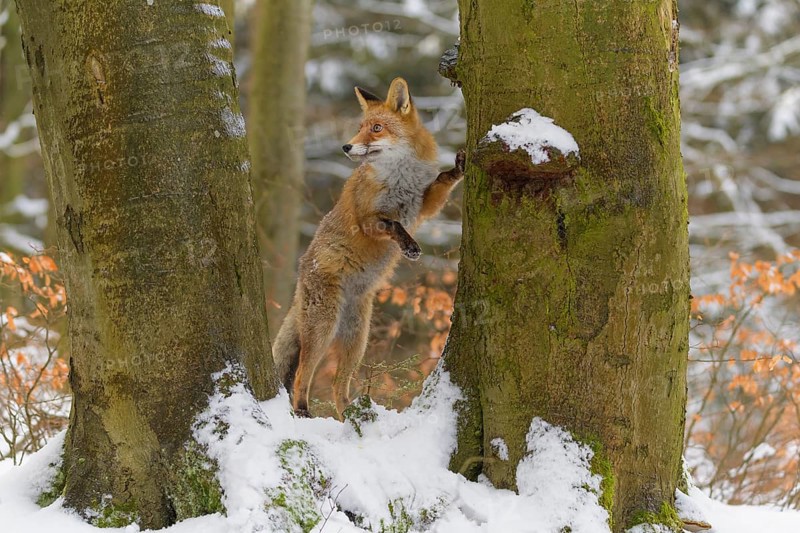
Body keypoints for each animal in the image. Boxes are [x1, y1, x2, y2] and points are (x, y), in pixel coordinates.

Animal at [272, 77, 465, 418]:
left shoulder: (424, 206)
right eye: (360, 127)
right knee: (300, 376)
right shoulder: (367, 220)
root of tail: (299, 279)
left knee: (339, 386)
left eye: (376, 128)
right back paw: (304, 413)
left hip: (356, 339)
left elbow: (441, 181)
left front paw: (458, 167)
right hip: (322, 330)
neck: (401, 179)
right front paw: (409, 246)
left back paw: (354, 415)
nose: (346, 147)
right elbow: (392, 224)